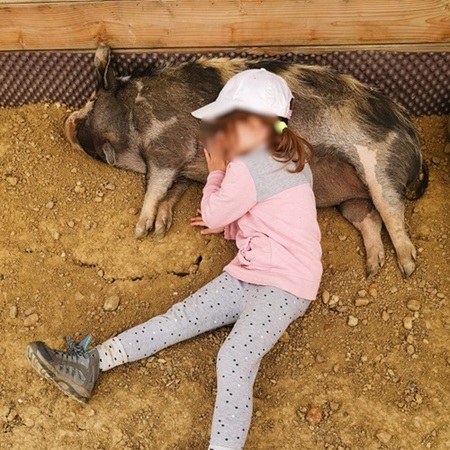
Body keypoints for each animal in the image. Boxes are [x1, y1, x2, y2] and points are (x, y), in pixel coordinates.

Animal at [65, 44, 428, 278]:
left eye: (92, 101)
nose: (66, 123)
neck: (135, 113)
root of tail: (414, 141)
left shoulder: (168, 145)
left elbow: (155, 187)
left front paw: (141, 231)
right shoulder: (184, 166)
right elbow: (172, 191)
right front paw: (159, 231)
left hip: (380, 166)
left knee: (392, 212)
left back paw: (407, 267)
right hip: (352, 196)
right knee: (369, 218)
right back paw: (373, 268)